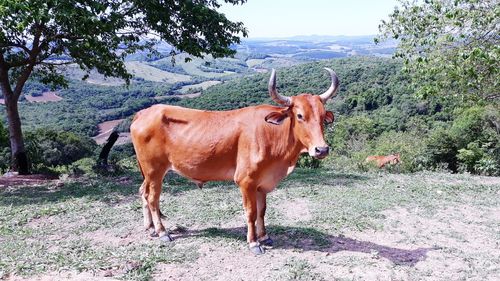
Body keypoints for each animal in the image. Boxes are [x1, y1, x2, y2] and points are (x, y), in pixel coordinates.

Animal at [130, 66, 340, 253]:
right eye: (299, 115)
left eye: (323, 116)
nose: (321, 149)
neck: (272, 135)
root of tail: (144, 112)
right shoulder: (246, 181)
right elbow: (251, 212)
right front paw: (254, 243)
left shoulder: (262, 183)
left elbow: (262, 210)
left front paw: (264, 236)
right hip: (154, 170)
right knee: (152, 198)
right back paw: (162, 232)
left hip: (148, 173)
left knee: (143, 192)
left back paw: (150, 228)